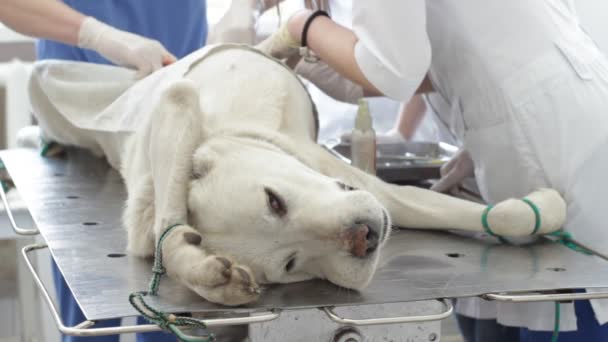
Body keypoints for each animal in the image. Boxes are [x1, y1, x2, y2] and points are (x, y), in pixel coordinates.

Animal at [25, 44, 564, 306]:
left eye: (274, 200)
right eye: (290, 264)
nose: (365, 237)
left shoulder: (180, 104)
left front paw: (544, 208)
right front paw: (200, 268)